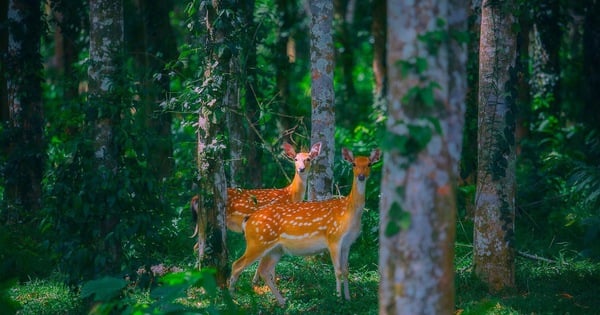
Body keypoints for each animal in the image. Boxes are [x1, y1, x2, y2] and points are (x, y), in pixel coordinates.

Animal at [227, 148, 382, 306]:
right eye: (353, 164)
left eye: (369, 164)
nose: (361, 176)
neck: (349, 213)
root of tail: (248, 219)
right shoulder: (333, 237)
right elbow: (338, 271)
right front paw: (338, 299)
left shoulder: (347, 243)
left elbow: (346, 270)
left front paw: (349, 298)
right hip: (257, 242)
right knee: (237, 265)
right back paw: (232, 300)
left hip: (275, 249)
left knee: (264, 270)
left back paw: (282, 301)